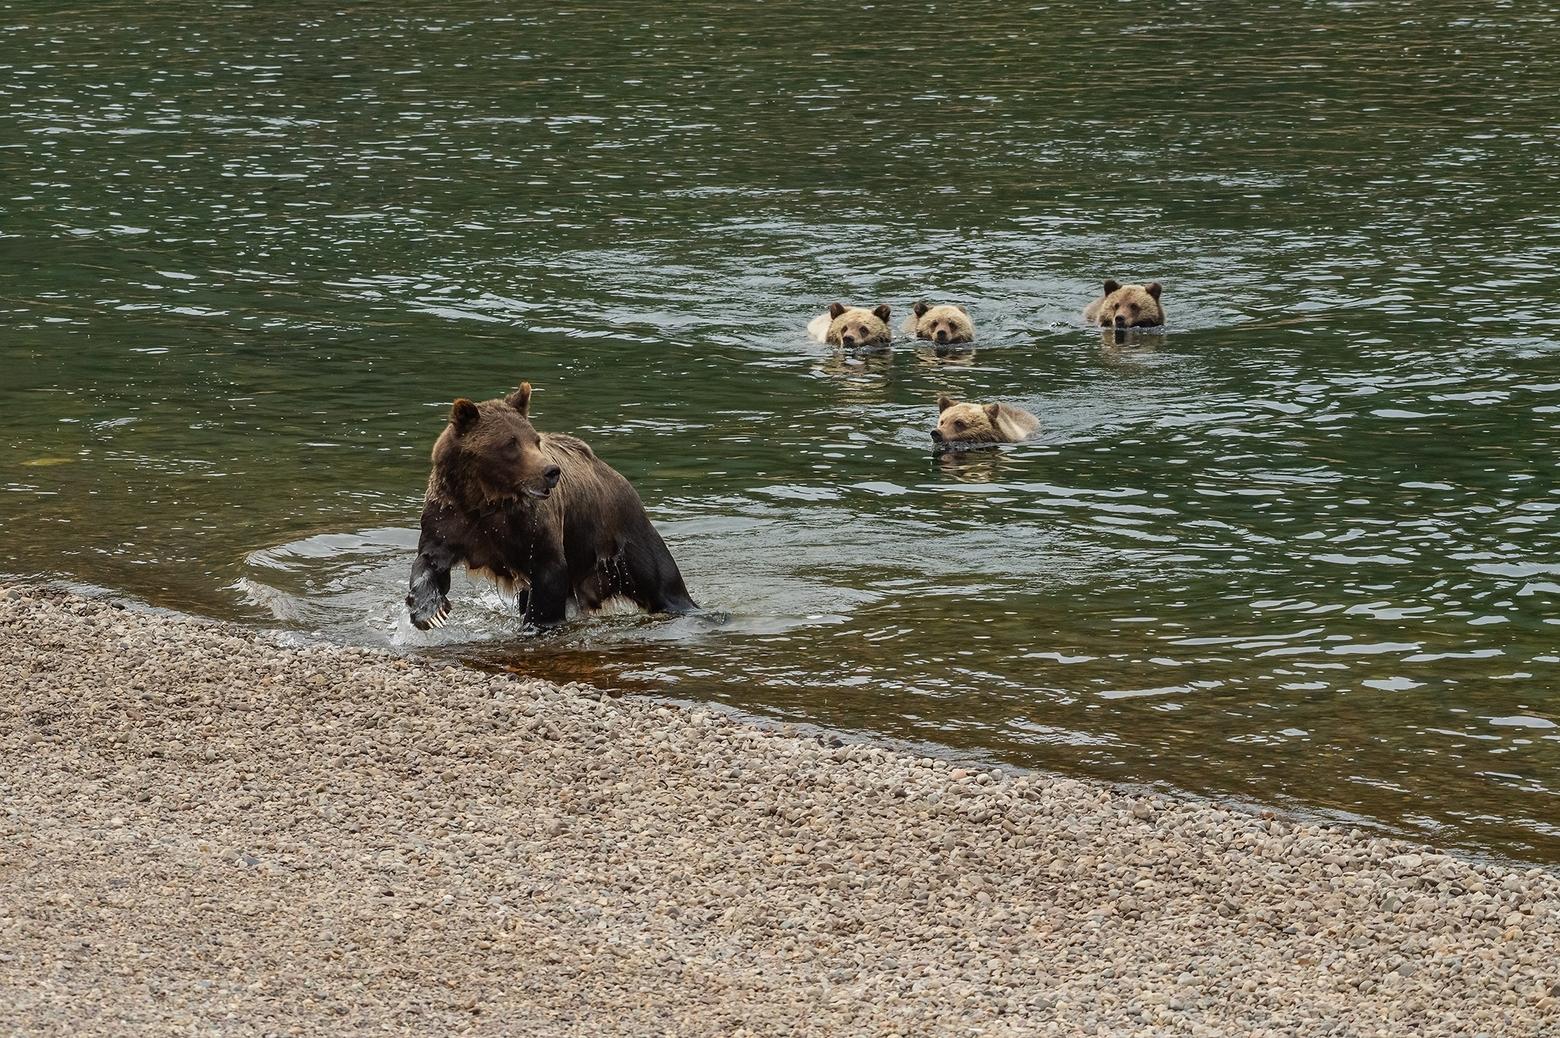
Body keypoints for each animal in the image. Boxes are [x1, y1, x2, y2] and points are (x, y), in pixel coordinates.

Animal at [405, 379, 692, 627]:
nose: (551, 471)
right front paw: (429, 611)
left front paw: (536, 624)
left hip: (620, 539)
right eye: (510, 443)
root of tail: (614, 474)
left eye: (535, 440)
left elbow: (549, 573)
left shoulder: (531, 525)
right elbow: (430, 561)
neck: (487, 498)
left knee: (662, 581)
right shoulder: (452, 515)